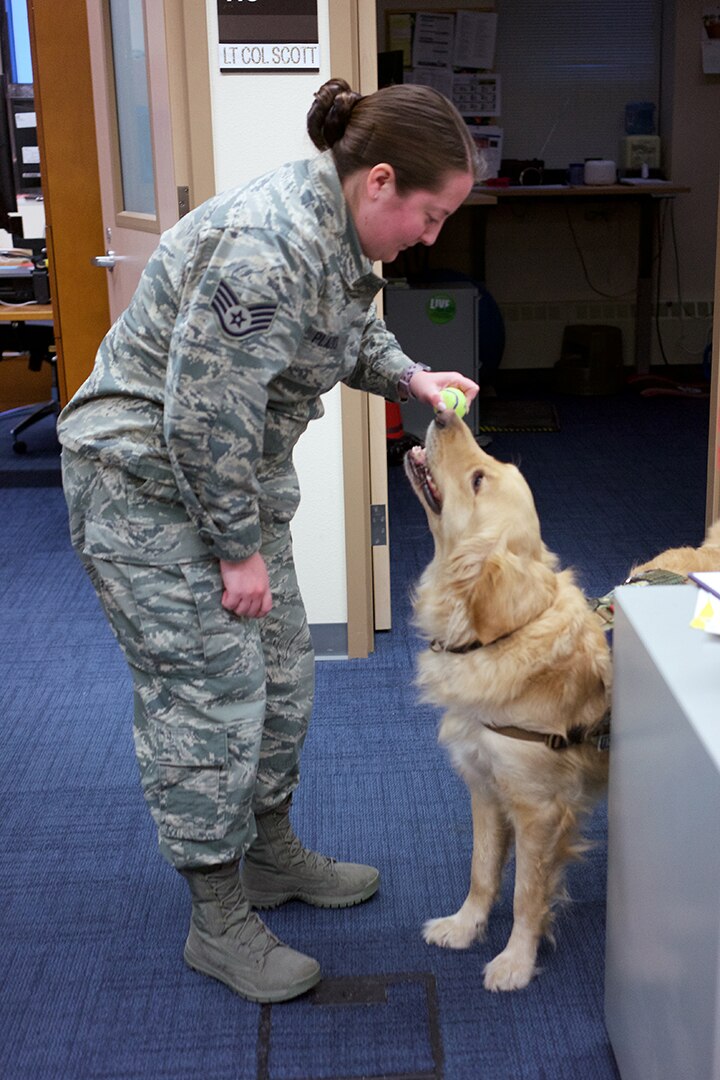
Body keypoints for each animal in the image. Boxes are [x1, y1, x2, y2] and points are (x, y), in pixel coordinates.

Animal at [403, 408, 613, 989]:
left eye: (479, 479)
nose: (441, 411)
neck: (494, 638)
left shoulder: (538, 808)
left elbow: (526, 894)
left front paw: (516, 961)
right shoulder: (484, 784)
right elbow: (482, 871)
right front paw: (465, 926)